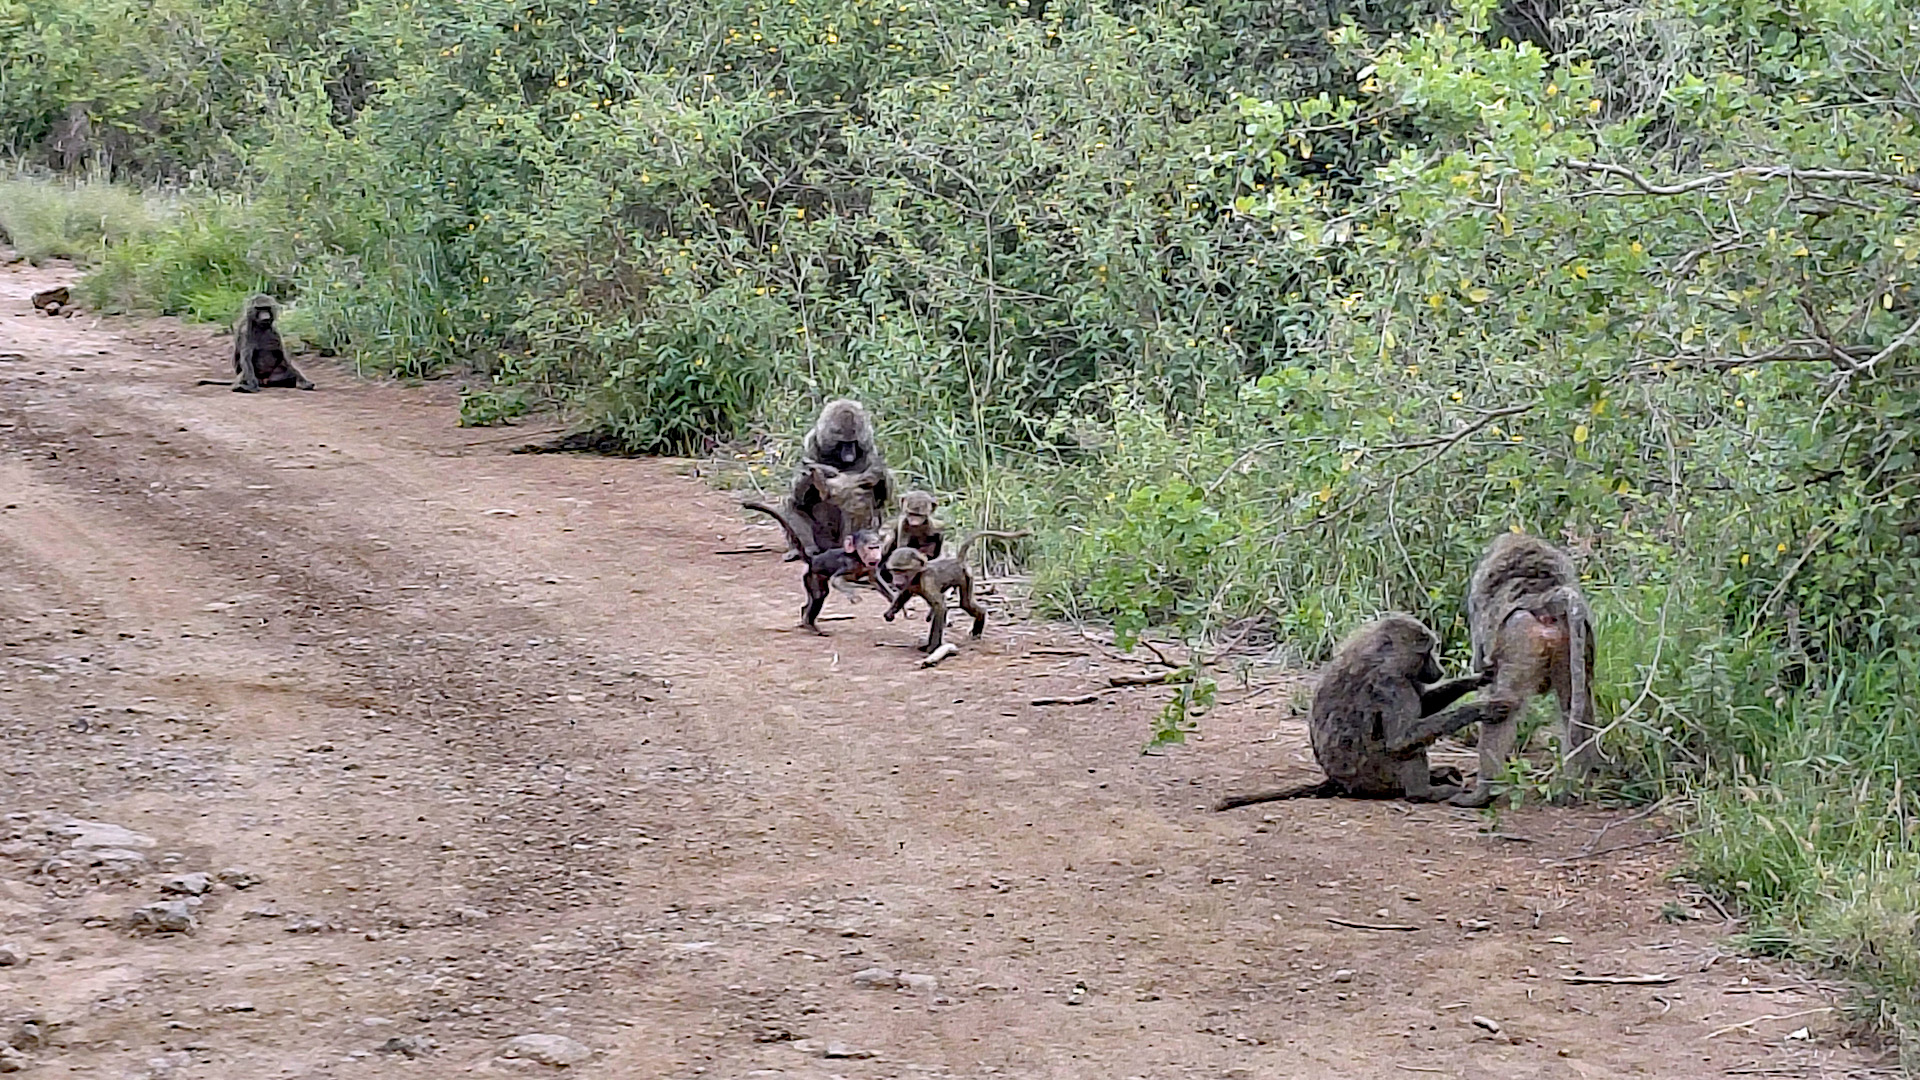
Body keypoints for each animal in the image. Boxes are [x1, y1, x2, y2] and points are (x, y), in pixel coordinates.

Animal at [742, 501, 893, 634]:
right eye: (870, 548)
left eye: (877, 547)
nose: (876, 553)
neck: (858, 558)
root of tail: (813, 559)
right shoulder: (849, 563)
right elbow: (836, 580)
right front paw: (854, 597)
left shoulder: (871, 568)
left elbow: (877, 582)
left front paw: (893, 602)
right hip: (812, 575)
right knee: (819, 595)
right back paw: (811, 626)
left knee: (815, 597)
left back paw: (805, 618)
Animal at [881, 530, 1030, 653]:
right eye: (895, 571)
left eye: (902, 571)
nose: (896, 580)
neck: (917, 575)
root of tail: (957, 560)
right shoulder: (908, 585)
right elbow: (904, 594)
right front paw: (890, 613)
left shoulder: (927, 581)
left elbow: (940, 606)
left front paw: (933, 647)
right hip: (967, 577)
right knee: (966, 603)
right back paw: (979, 622)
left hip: (965, 576)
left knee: (963, 604)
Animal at [1214, 614, 1491, 809]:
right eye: (1427, 653)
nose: (1440, 671)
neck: (1382, 657)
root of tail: (1338, 782)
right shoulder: (1392, 685)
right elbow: (1401, 739)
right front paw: (1478, 708)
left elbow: (1424, 707)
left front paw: (1476, 680)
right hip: (1377, 776)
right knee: (1407, 750)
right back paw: (1425, 793)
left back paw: (1438, 776)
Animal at [1443, 531, 1598, 808]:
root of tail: (1546, 598)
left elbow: (1482, 664)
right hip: (1575, 640)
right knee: (1576, 709)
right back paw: (1574, 786)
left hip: (1521, 634)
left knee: (1503, 707)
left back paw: (1482, 794)